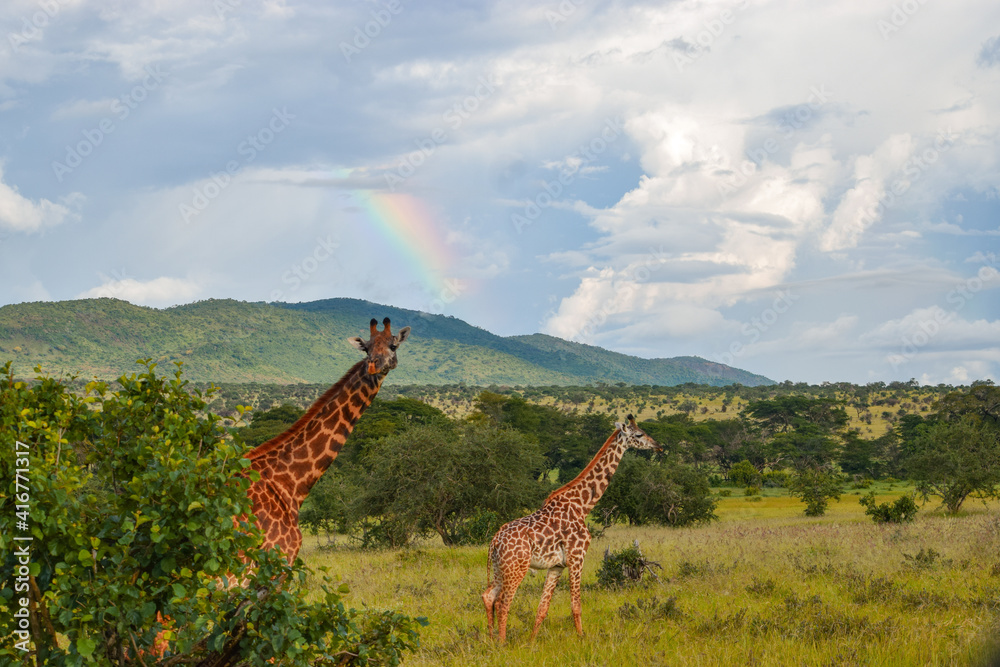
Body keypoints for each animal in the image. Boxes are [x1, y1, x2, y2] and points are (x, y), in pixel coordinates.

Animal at [481, 415, 662, 642]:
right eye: (639, 434)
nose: (658, 446)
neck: (582, 505)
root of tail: (495, 540)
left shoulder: (557, 565)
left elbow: (543, 608)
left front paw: (531, 642)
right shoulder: (577, 557)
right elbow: (576, 605)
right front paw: (582, 638)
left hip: (500, 567)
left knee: (489, 596)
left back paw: (491, 640)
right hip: (517, 567)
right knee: (503, 602)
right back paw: (502, 643)